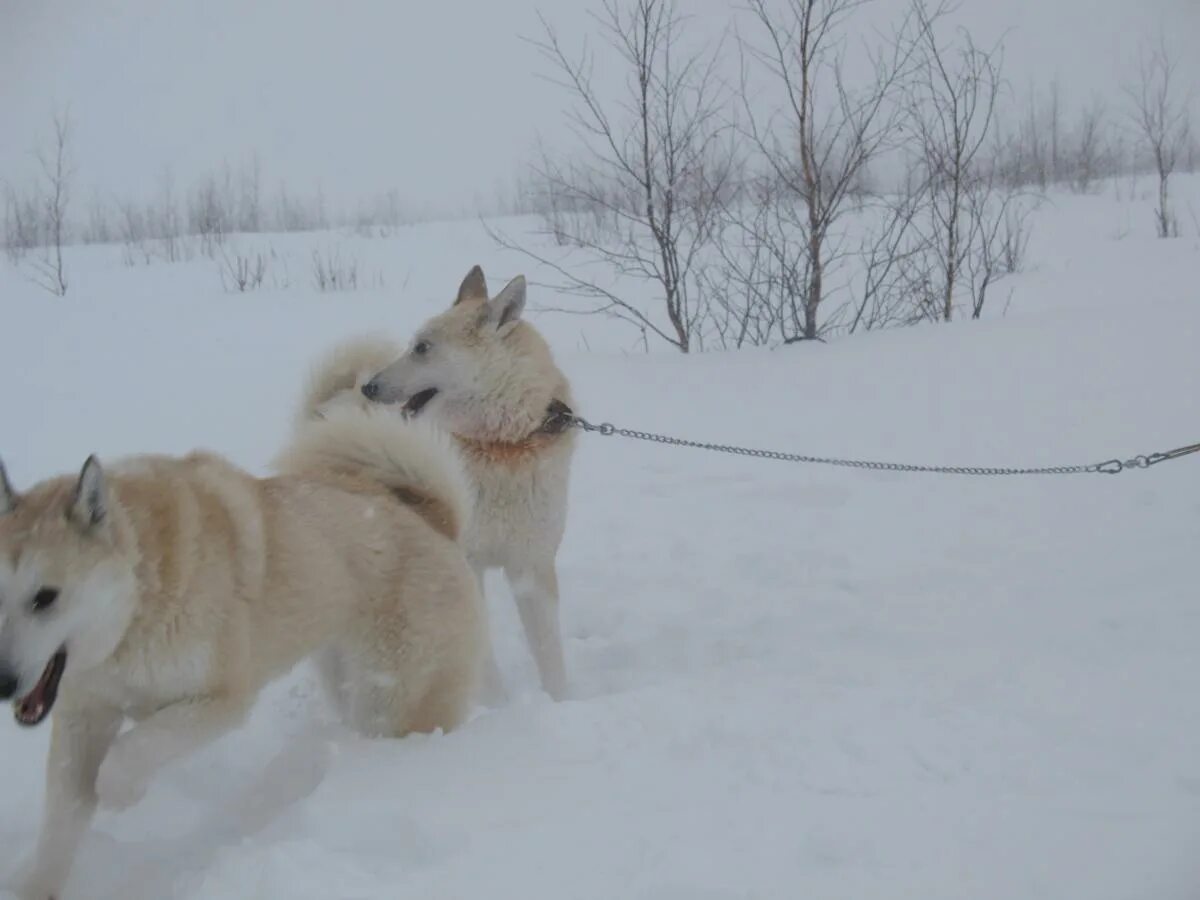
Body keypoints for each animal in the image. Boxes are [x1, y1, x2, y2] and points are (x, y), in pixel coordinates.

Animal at [3, 410, 487, 900]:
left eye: (46, 597)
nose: (3, 684)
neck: (137, 603)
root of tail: (437, 521)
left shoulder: (221, 700)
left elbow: (133, 750)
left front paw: (121, 791)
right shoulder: (85, 713)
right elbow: (61, 820)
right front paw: (36, 887)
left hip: (392, 705)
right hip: (348, 685)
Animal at [302, 267, 578, 705]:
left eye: (423, 348)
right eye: (412, 344)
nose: (370, 388)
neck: (499, 446)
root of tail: (329, 410)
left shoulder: (531, 566)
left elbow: (550, 654)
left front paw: (560, 704)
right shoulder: (465, 564)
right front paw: (497, 705)